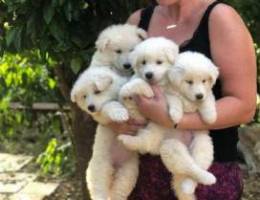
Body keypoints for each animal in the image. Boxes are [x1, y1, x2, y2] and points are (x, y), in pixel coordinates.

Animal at [70, 67, 139, 200]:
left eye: (97, 91)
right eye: (84, 96)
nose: (90, 107)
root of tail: (114, 166)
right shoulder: (101, 115)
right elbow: (110, 105)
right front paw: (120, 114)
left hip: (128, 172)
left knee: (119, 191)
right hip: (99, 170)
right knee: (99, 190)